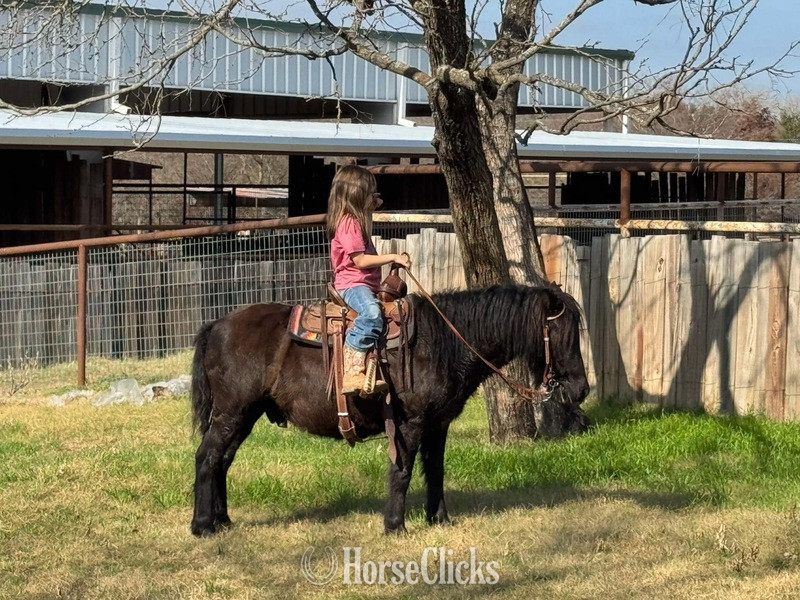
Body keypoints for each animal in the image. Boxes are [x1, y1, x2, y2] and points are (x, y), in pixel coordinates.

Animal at [190, 283, 590, 536]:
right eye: (560, 332)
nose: (580, 389)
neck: (440, 342)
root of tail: (216, 325)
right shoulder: (410, 423)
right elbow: (402, 471)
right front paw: (395, 525)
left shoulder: (437, 425)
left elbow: (435, 471)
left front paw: (439, 519)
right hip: (232, 414)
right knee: (207, 458)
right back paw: (202, 525)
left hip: (243, 416)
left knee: (222, 461)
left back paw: (222, 521)